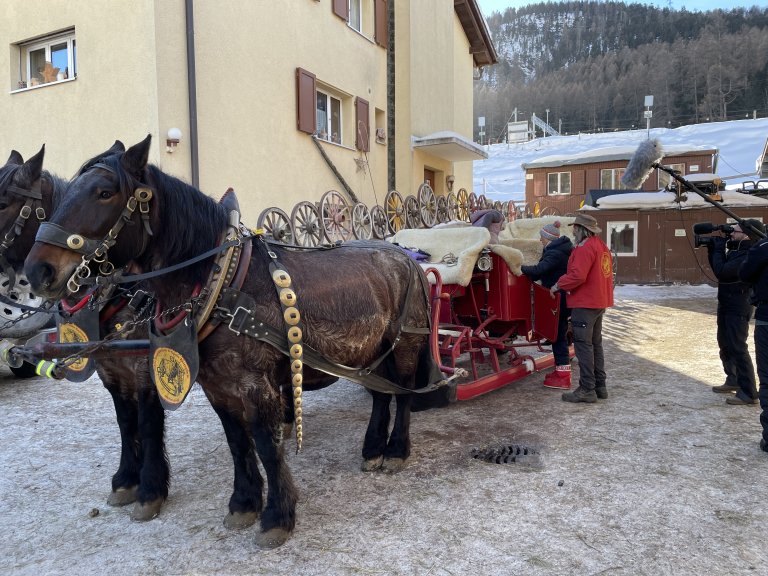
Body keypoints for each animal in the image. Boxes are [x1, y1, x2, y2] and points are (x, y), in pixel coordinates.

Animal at [0, 144, 170, 516]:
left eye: (3, 202)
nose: (38, 271)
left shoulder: (145, 366)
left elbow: (148, 421)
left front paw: (151, 487)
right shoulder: (110, 367)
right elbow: (125, 420)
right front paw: (126, 479)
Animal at [24, 135, 440, 548]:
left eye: (105, 192)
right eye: (65, 194)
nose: (37, 270)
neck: (223, 284)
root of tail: (407, 257)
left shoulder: (254, 385)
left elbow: (266, 446)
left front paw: (277, 516)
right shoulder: (215, 384)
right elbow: (237, 442)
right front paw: (243, 503)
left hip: (405, 346)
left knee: (403, 394)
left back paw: (396, 449)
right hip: (370, 352)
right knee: (381, 395)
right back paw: (373, 448)